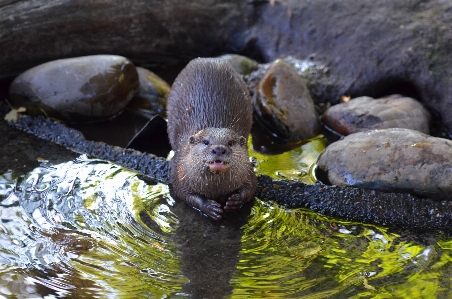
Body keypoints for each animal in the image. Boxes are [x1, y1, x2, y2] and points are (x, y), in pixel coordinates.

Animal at [167, 58, 258, 220]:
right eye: (206, 142)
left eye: (230, 143)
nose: (219, 149)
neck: (216, 190)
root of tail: (208, 59)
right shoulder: (181, 171)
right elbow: (183, 193)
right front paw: (209, 207)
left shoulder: (247, 170)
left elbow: (251, 187)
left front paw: (235, 201)